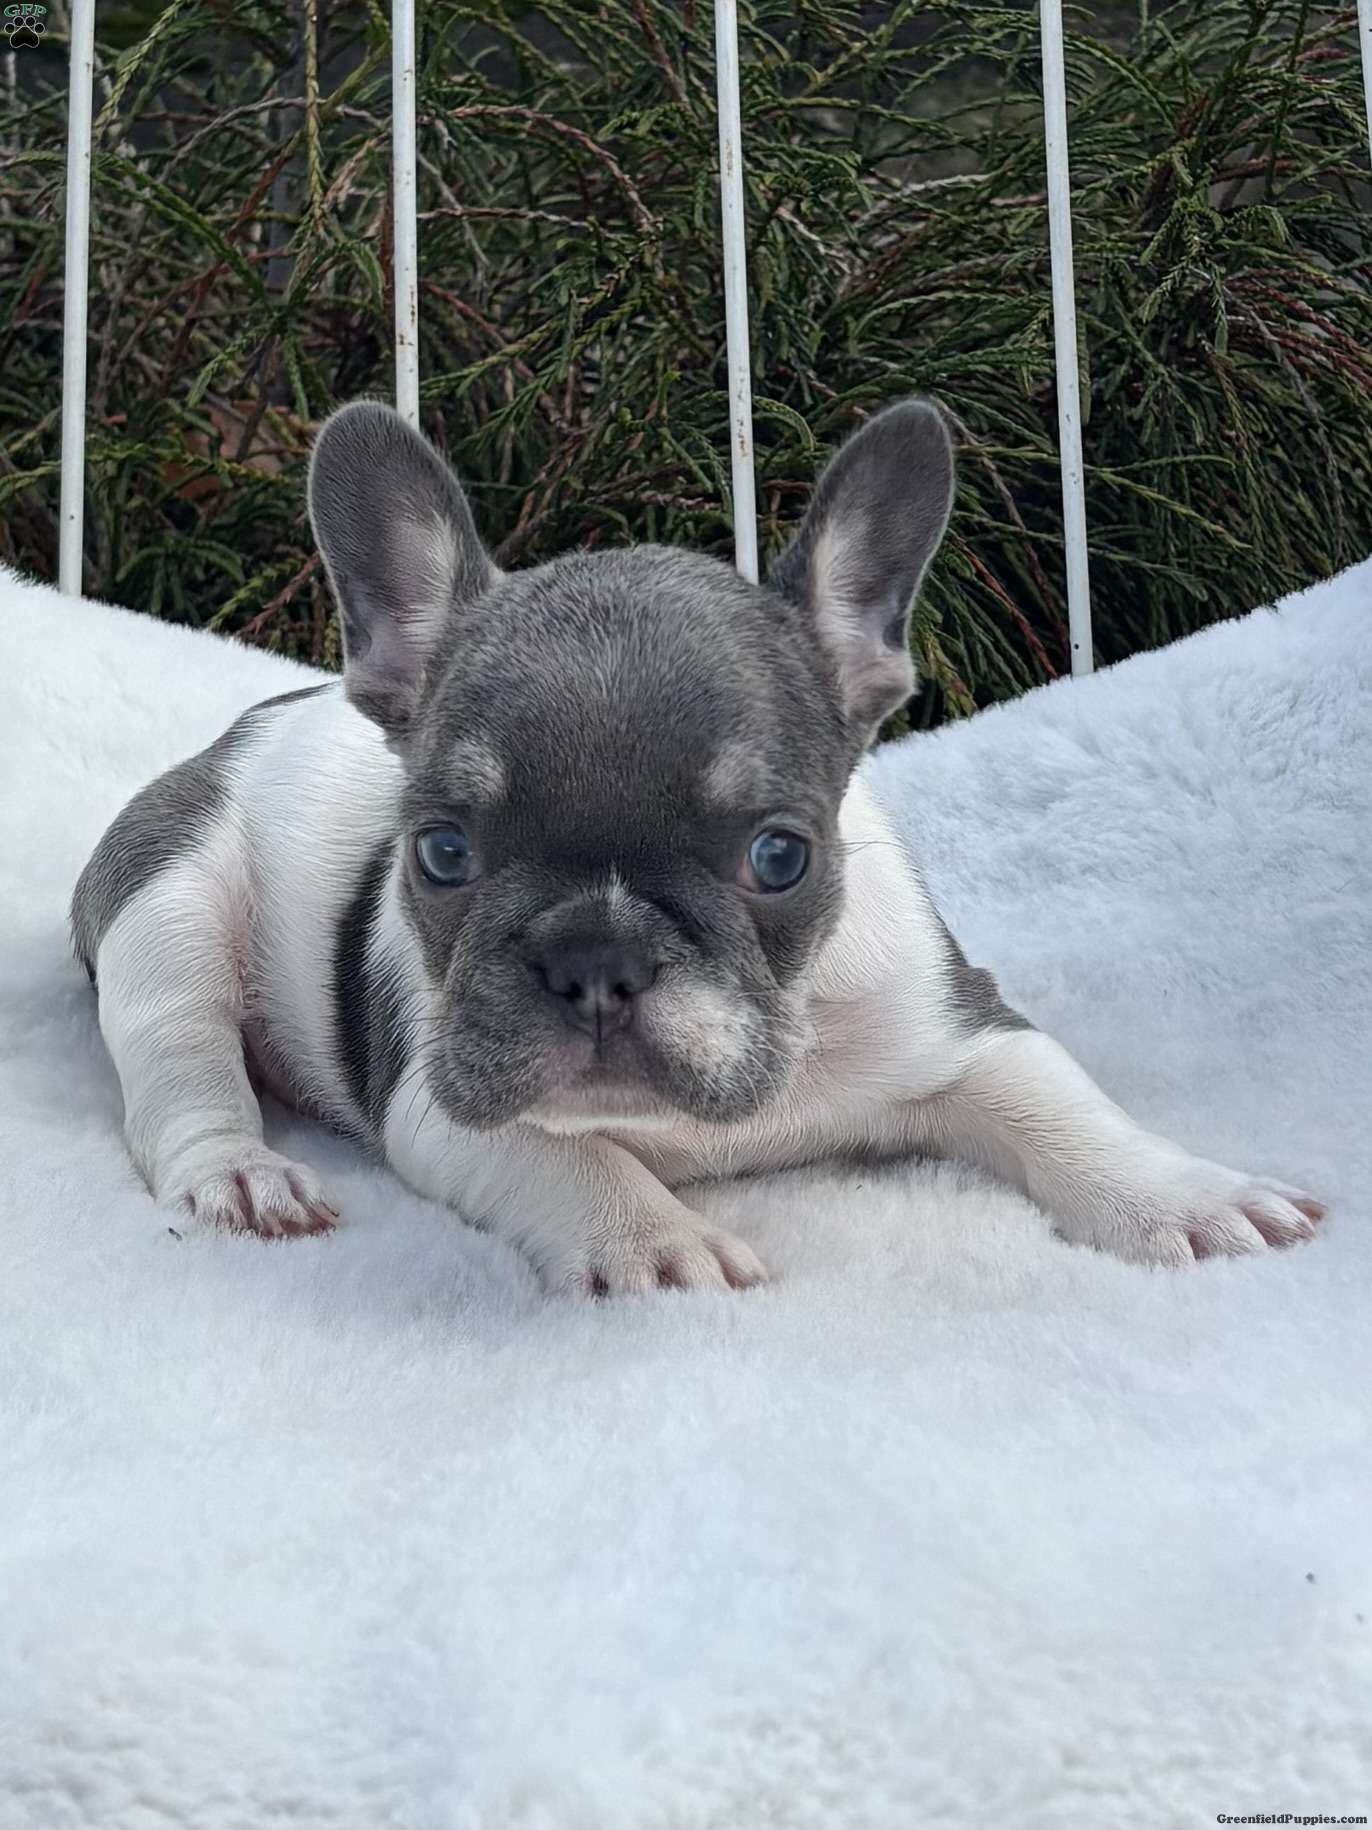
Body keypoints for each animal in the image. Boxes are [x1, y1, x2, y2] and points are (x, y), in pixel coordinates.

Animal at [70, 398, 1325, 1294]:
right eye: (440, 853)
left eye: (778, 857)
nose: (595, 959)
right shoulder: (438, 1098)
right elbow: (572, 1155)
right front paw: (652, 1240)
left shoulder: (958, 1023)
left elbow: (1057, 1102)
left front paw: (1183, 1196)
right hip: (169, 900)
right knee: (179, 1062)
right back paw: (240, 1173)